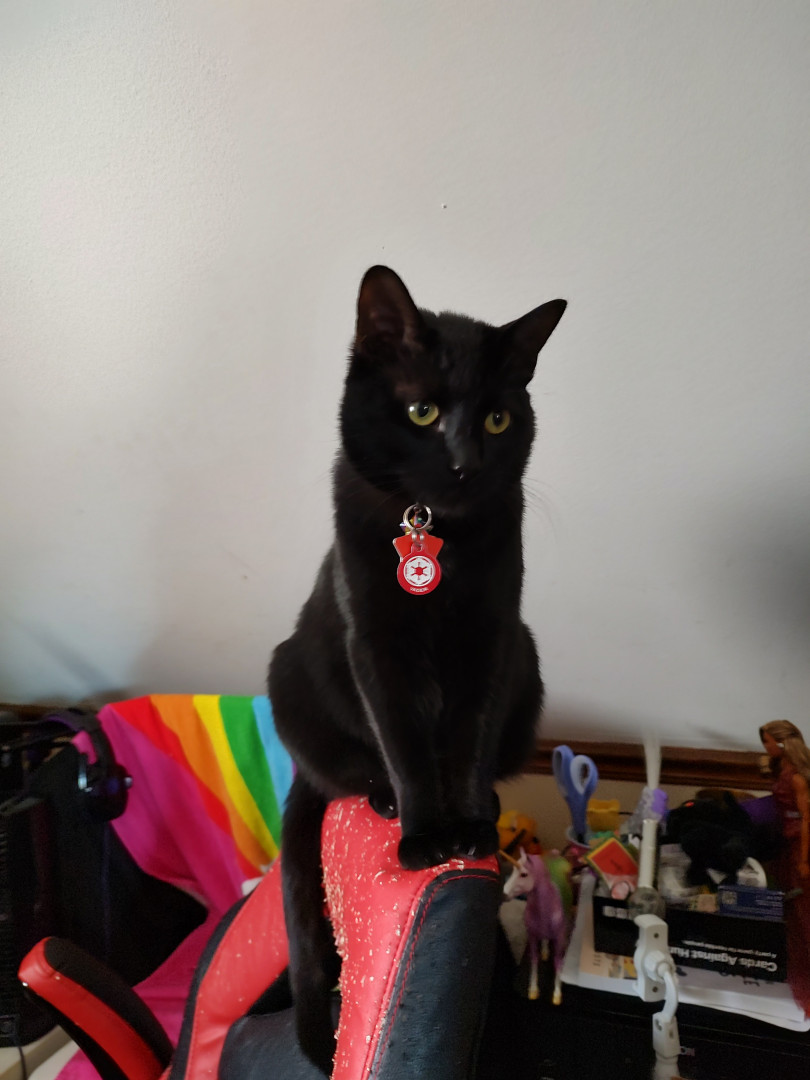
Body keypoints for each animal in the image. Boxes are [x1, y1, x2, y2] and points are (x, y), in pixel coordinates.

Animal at [268, 266, 566, 1074]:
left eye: (496, 420)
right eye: (422, 410)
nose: (465, 461)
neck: (436, 532)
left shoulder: (494, 640)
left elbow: (466, 742)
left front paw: (467, 826)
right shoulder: (375, 648)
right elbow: (404, 744)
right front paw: (426, 835)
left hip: (531, 658)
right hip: (288, 678)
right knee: (351, 771)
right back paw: (385, 801)